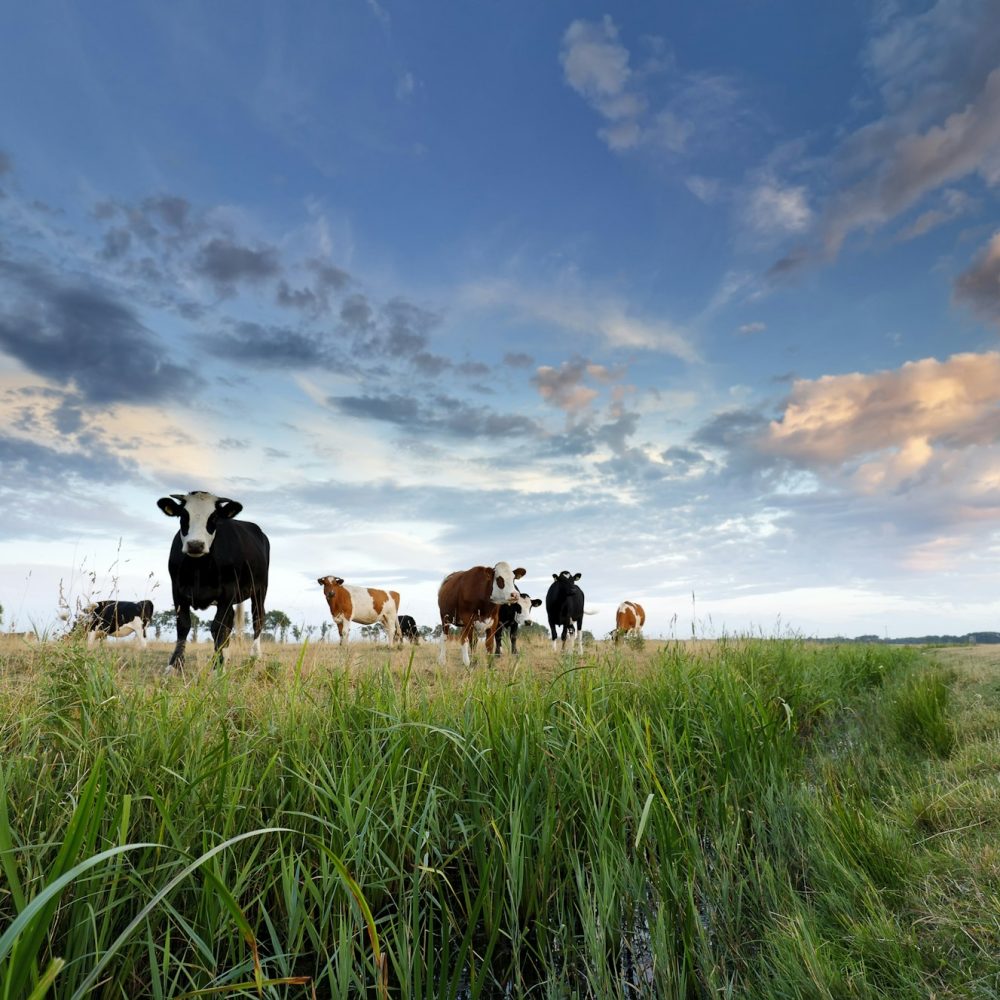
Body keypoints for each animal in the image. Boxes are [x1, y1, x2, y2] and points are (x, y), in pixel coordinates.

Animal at [157, 491, 270, 672]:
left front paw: (217, 666)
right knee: (230, 621)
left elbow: (218, 628)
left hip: (260, 589)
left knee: (258, 618)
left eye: (214, 517)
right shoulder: (177, 590)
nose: (195, 545)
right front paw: (174, 666)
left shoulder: (228, 591)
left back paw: (255, 656)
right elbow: (183, 625)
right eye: (183, 515)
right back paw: (228, 656)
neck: (198, 568)